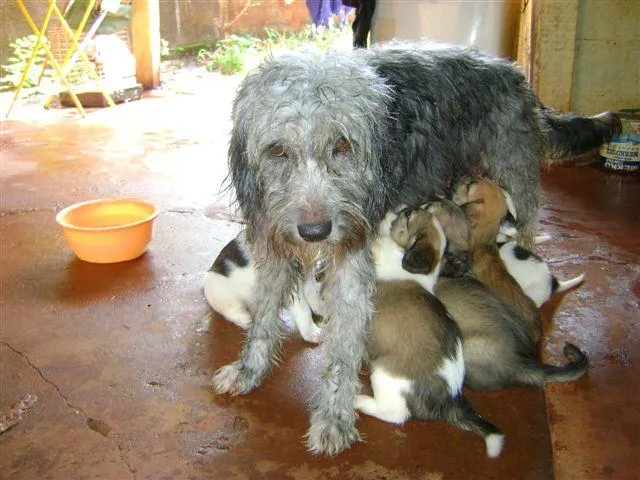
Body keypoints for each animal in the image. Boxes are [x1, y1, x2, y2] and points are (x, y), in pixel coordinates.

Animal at [212, 41, 616, 454]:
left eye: (342, 144)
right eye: (277, 150)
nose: (315, 231)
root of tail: (512, 71)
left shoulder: (354, 260)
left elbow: (343, 344)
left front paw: (334, 416)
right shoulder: (274, 248)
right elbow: (263, 316)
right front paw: (250, 368)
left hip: (513, 176)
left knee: (525, 230)